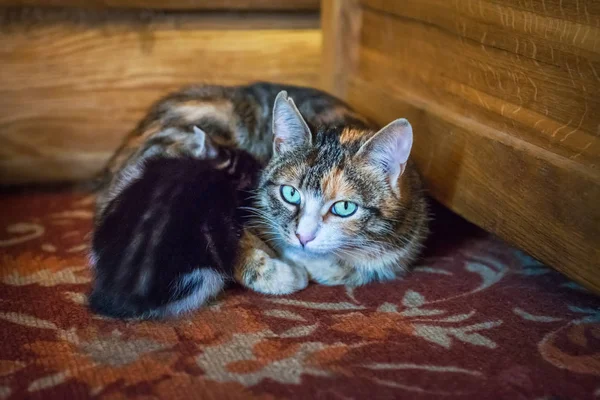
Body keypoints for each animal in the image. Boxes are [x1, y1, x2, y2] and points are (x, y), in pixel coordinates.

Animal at [95, 80, 426, 306]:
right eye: (290, 194)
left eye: (344, 208)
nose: (303, 237)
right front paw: (287, 270)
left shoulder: (399, 247)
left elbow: (353, 268)